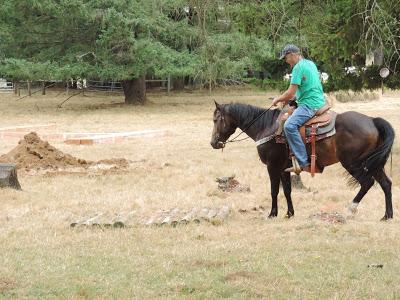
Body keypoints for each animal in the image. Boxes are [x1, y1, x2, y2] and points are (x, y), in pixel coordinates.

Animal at [211, 102, 396, 221]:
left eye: (216, 119)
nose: (213, 143)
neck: (266, 127)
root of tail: (372, 120)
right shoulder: (284, 168)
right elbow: (287, 190)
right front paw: (289, 213)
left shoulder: (272, 166)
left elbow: (274, 191)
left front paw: (272, 214)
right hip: (374, 163)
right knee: (386, 183)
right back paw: (387, 215)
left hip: (354, 163)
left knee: (367, 183)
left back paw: (351, 209)